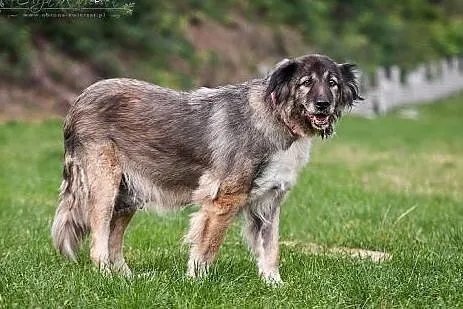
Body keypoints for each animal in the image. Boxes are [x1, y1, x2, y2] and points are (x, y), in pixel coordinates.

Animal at [49, 53, 362, 282]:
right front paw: (196, 282)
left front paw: (275, 285)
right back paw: (108, 277)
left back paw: (130, 278)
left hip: (129, 194)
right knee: (99, 243)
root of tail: (78, 100)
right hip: (105, 186)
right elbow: (208, 247)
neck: (278, 117)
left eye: (333, 83)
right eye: (305, 82)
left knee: (114, 241)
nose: (323, 104)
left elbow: (271, 250)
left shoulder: (268, 204)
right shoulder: (224, 200)